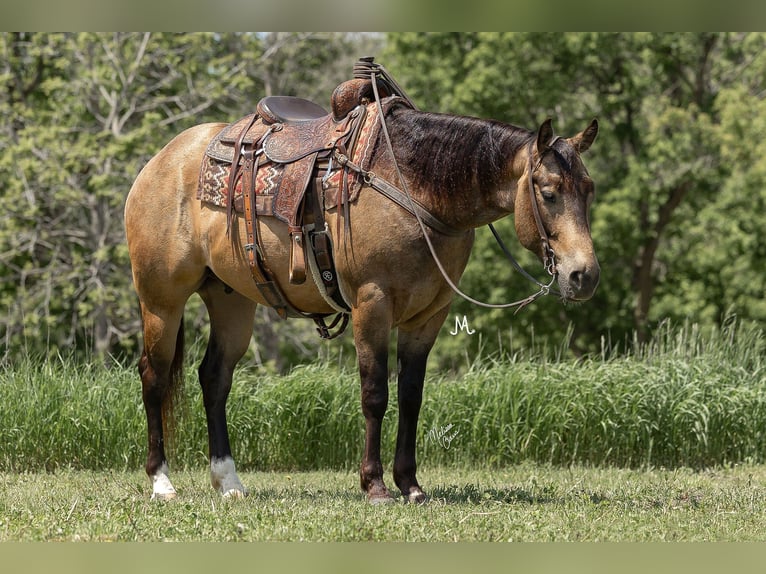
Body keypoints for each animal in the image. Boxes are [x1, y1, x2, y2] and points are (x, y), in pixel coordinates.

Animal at [124, 80, 600, 504]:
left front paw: (411, 485)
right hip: (161, 302)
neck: (413, 186)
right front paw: (375, 486)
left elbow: (411, 396)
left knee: (214, 378)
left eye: (589, 190)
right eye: (549, 192)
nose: (584, 275)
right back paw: (161, 482)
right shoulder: (372, 306)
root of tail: (160, 162)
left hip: (232, 302)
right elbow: (375, 394)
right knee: (154, 377)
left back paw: (229, 482)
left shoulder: (428, 316)